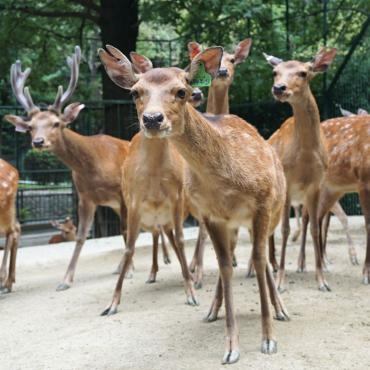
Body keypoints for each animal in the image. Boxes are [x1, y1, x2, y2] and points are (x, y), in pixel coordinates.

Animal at [264, 47, 338, 292]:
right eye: (275, 72)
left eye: (304, 72)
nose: (279, 88)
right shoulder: (288, 184)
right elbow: (286, 229)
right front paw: (280, 282)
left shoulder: (315, 186)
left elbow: (315, 227)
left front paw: (322, 280)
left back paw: (274, 264)